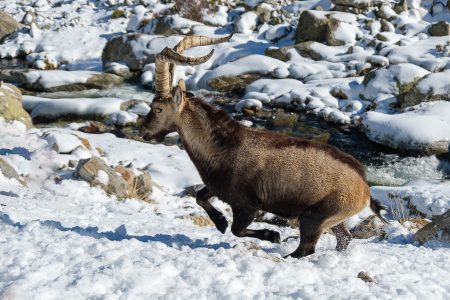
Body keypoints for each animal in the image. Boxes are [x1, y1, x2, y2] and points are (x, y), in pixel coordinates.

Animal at [141, 34, 386, 258]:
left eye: (158, 108)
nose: (144, 132)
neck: (222, 148)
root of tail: (365, 189)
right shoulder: (217, 187)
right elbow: (200, 197)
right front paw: (220, 222)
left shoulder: (247, 205)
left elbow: (237, 229)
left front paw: (272, 235)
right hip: (332, 219)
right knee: (344, 238)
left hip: (315, 218)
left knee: (305, 249)